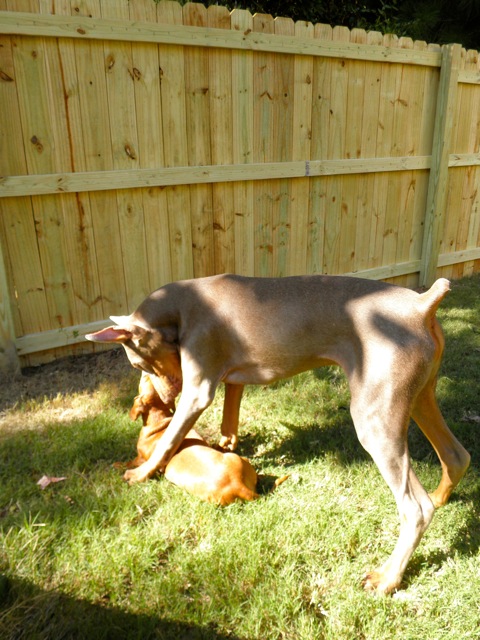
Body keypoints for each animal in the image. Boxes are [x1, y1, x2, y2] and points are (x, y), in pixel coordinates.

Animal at [124, 371, 262, 505]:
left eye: (145, 381)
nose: (146, 373)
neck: (159, 419)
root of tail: (239, 486)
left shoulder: (139, 458)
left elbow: (127, 463)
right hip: (237, 457)